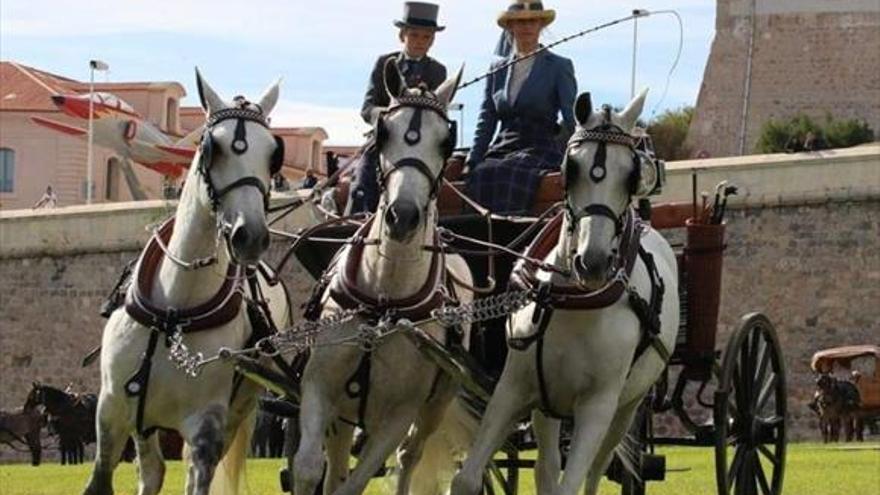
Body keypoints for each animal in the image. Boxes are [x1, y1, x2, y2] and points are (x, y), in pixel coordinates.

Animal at [83, 70, 290, 495]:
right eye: (214, 147)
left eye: (272, 154)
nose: (251, 236)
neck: (176, 308)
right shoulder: (110, 410)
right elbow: (101, 479)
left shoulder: (206, 424)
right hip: (143, 420)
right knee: (151, 470)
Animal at [294, 62, 474, 495]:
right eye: (382, 132)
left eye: (446, 142)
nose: (403, 215)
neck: (384, 297)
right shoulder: (318, 387)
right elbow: (308, 470)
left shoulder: (399, 414)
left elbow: (356, 484)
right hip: (344, 415)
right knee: (337, 460)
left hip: (434, 405)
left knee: (410, 456)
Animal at [454, 90, 680, 495]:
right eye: (571, 168)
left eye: (631, 175)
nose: (593, 262)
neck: (575, 304)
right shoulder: (515, 389)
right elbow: (467, 477)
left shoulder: (597, 407)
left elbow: (572, 483)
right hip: (549, 405)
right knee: (546, 468)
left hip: (626, 408)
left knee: (595, 470)